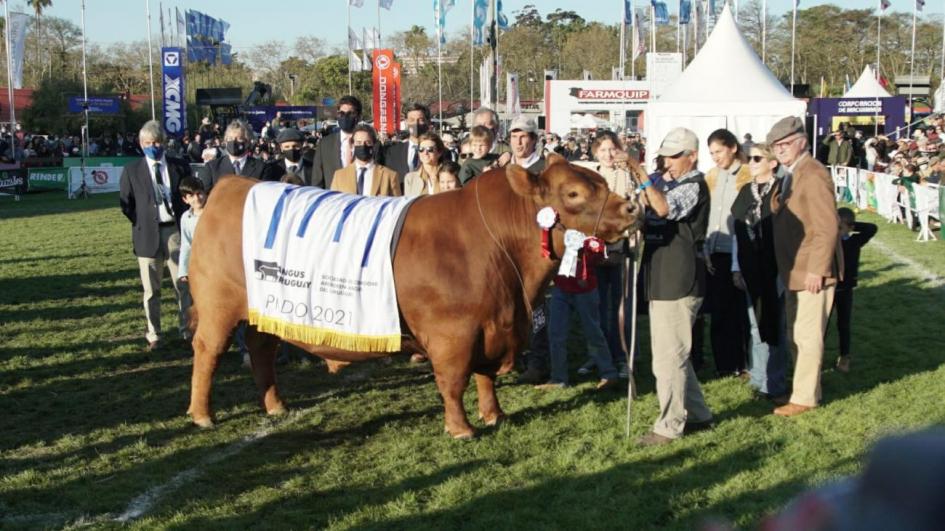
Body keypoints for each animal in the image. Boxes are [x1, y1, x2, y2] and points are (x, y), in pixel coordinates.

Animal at [184, 152, 640, 438]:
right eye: (574, 194)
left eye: (603, 180)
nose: (632, 208)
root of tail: (231, 185)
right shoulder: (452, 333)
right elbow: (453, 381)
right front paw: (461, 429)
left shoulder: (494, 326)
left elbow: (485, 377)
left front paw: (494, 416)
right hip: (219, 306)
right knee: (207, 352)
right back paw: (202, 415)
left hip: (263, 310)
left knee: (262, 348)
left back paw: (275, 406)